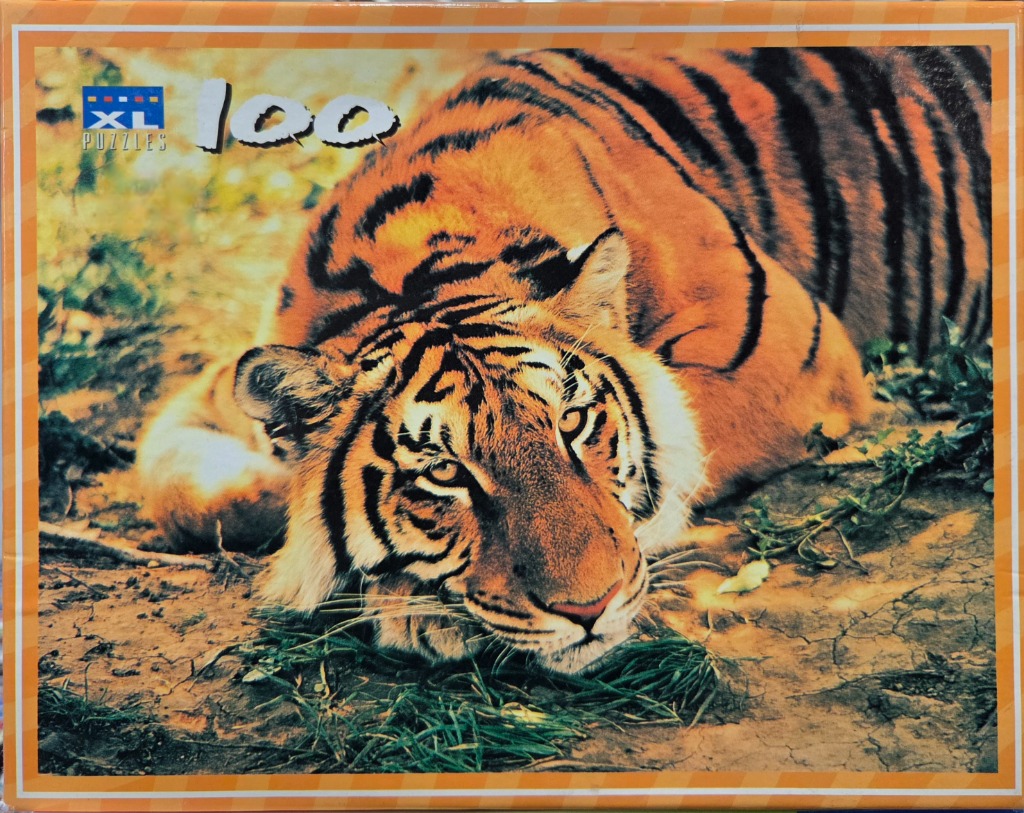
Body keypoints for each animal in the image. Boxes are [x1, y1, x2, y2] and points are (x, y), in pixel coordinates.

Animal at [137, 47, 991, 674]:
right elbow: (181, 486)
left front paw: (410, 604)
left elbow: (675, 443)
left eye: (576, 424)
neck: (416, 256)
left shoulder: (780, 343)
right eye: (443, 473)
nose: (590, 609)